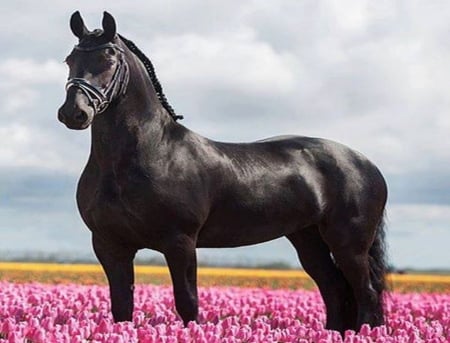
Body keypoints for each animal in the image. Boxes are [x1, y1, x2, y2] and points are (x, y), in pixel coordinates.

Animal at [57, 12, 386, 334]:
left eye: (109, 58)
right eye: (70, 59)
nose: (74, 113)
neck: (149, 153)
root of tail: (365, 164)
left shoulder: (180, 242)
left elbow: (187, 303)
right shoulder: (110, 245)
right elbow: (121, 307)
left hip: (349, 244)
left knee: (366, 293)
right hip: (308, 239)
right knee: (334, 290)